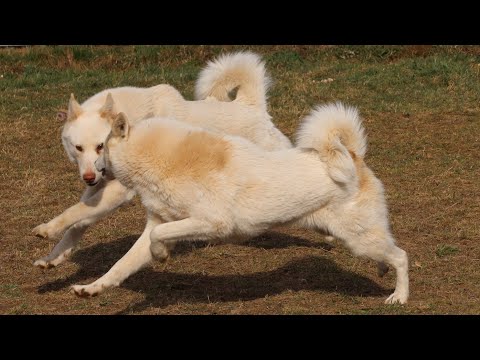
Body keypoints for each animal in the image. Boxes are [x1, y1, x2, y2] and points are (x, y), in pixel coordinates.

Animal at [32, 52, 292, 268]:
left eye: (100, 146)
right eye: (78, 148)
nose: (89, 177)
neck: (132, 119)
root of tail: (251, 105)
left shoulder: (119, 189)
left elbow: (75, 211)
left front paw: (47, 229)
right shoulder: (100, 186)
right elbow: (80, 219)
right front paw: (54, 256)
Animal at [71, 102, 408, 306]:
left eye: (101, 147)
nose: (90, 173)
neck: (163, 157)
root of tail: (353, 156)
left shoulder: (212, 223)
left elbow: (158, 237)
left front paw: (162, 254)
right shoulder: (161, 221)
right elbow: (120, 266)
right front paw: (91, 288)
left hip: (360, 239)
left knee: (401, 257)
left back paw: (399, 297)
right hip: (356, 239)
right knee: (387, 255)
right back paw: (381, 271)